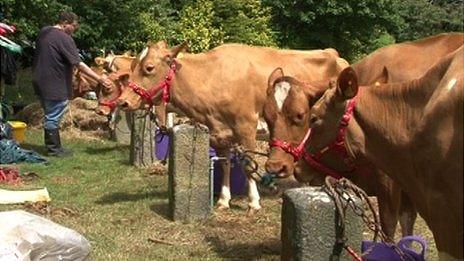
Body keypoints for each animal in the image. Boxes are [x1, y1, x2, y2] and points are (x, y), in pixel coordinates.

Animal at [116, 40, 348, 211]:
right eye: (132, 66)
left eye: (148, 68)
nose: (123, 102)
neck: (212, 78)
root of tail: (337, 56)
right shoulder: (219, 133)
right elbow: (225, 164)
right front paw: (223, 200)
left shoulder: (246, 127)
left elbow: (248, 165)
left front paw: (253, 202)